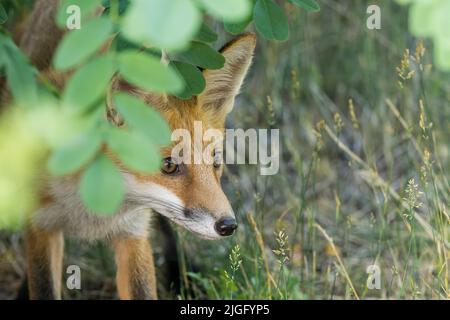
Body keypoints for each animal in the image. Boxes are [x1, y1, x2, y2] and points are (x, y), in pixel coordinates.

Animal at [3, 0, 255, 300]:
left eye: (216, 161)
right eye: (168, 165)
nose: (228, 225)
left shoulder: (133, 232)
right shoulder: (42, 225)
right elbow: (44, 285)